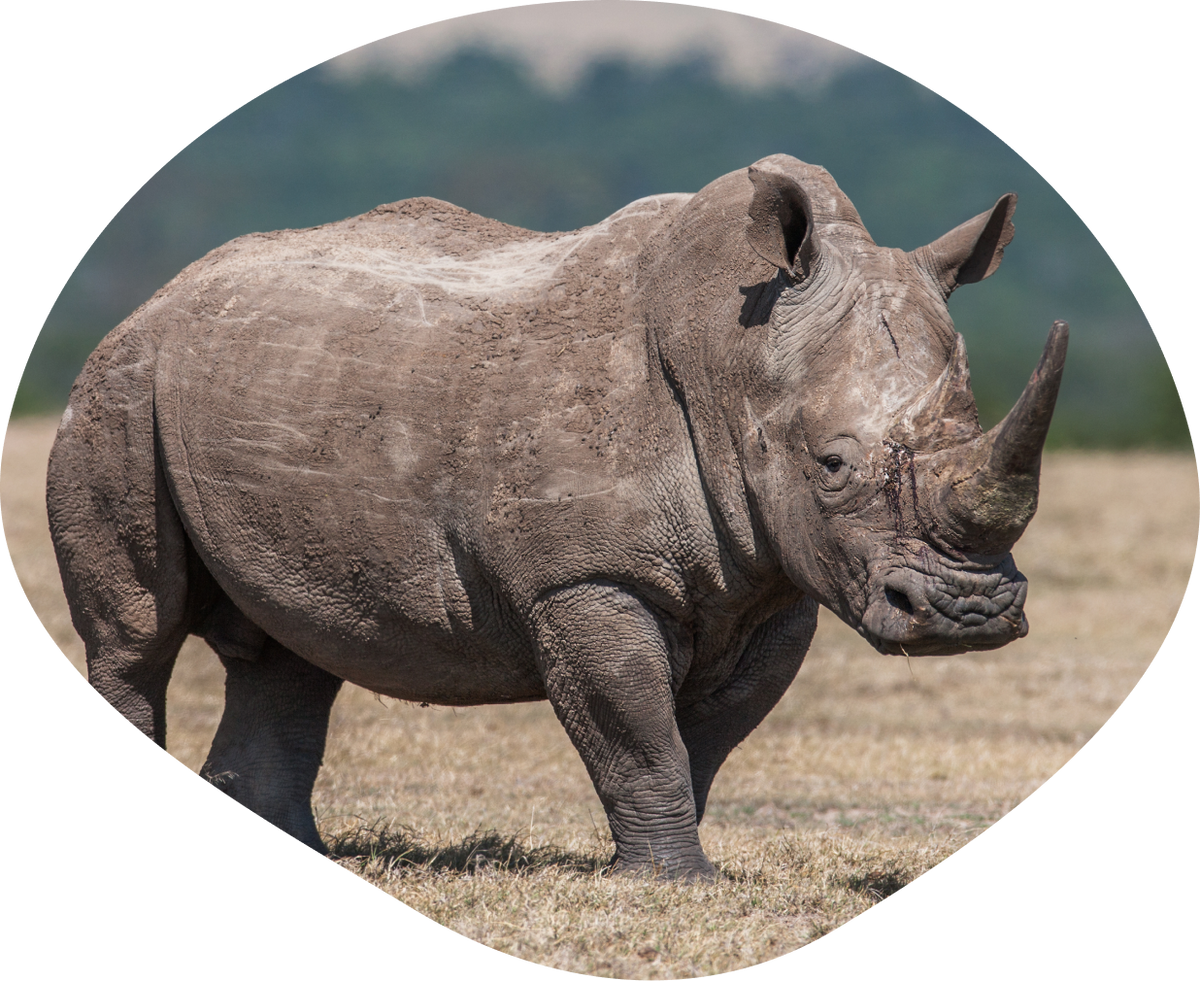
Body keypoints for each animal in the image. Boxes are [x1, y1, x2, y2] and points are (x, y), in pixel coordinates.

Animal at [47, 154, 1066, 880]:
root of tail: (165, 293)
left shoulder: (777, 580)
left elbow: (705, 736)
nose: (970, 613)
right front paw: (675, 881)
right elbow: (637, 728)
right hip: (120, 383)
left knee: (295, 645)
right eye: (833, 466)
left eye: (971, 425)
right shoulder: (584, 576)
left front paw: (664, 870)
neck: (738, 363)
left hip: (270, 382)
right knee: (137, 632)